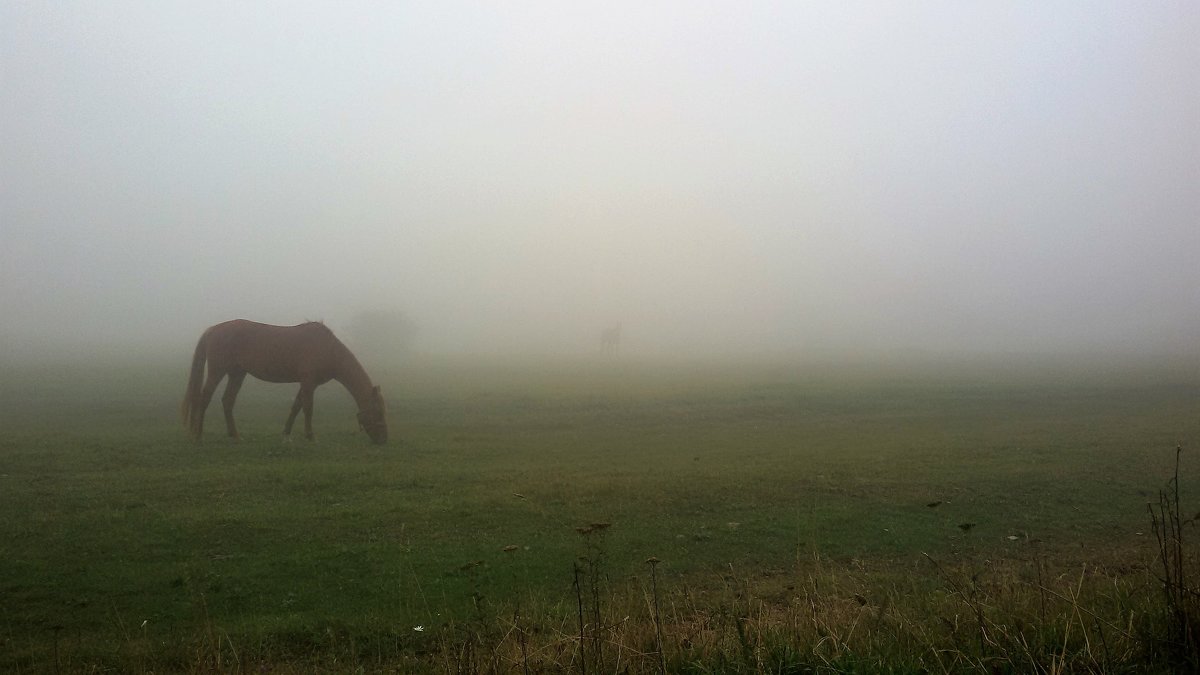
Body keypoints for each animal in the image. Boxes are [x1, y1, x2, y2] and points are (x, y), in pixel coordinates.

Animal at [180, 319, 386, 441]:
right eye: (378, 412)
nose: (384, 439)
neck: (329, 349)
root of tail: (213, 329)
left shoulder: (307, 384)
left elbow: (296, 406)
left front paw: (286, 432)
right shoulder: (308, 382)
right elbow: (308, 408)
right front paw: (310, 435)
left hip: (237, 374)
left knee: (227, 401)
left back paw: (235, 435)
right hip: (218, 372)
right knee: (204, 398)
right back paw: (198, 434)